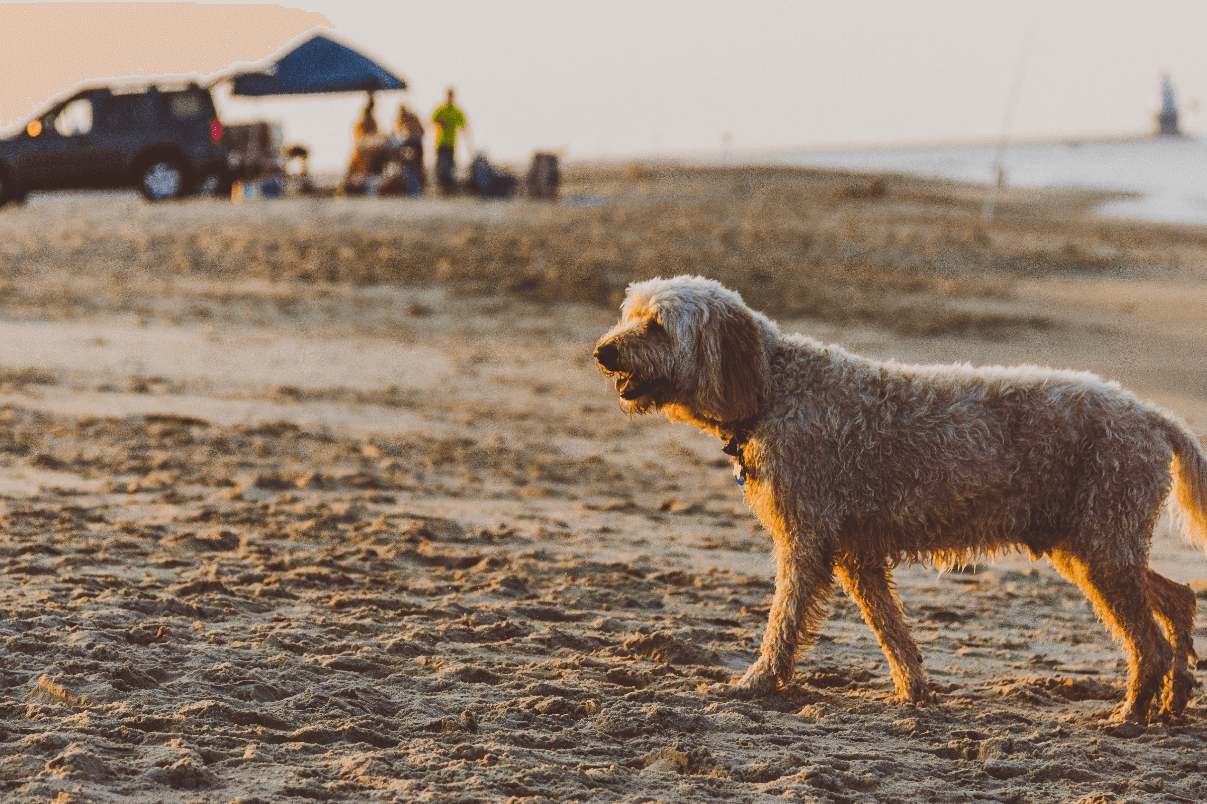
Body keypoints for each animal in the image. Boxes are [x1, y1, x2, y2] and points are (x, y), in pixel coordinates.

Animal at [593, 274, 1207, 719]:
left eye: (657, 326)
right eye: (628, 316)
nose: (602, 351)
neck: (773, 387)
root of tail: (1153, 415)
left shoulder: (806, 543)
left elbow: (784, 623)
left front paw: (759, 681)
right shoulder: (856, 555)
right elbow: (891, 631)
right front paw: (913, 690)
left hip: (1102, 546)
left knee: (1148, 642)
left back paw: (1132, 712)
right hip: (1091, 546)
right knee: (1177, 598)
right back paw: (1174, 695)